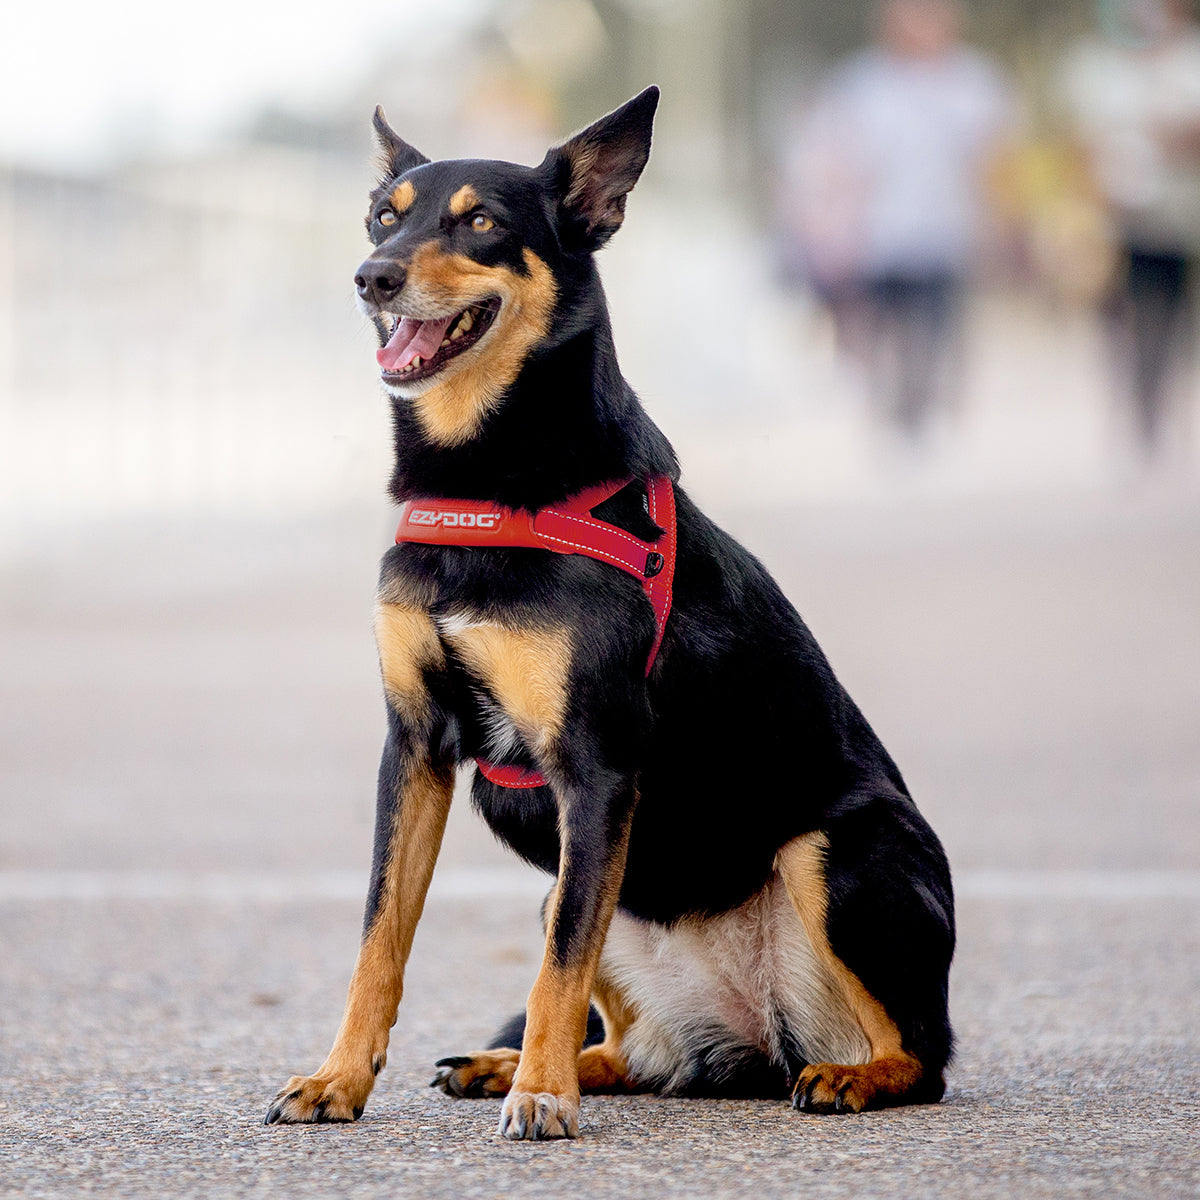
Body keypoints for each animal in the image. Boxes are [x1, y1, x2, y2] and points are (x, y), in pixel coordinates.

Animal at [265, 88, 955, 1137]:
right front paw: (339, 1079)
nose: (370, 278)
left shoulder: (594, 765)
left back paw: (846, 1077)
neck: (491, 485)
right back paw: (514, 1063)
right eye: (385, 216)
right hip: (579, 878)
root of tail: (760, 1036)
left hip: (835, 851)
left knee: (920, 1052)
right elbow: (380, 941)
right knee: (635, 1045)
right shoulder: (415, 748)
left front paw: (542, 1098)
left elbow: (555, 967)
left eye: (480, 222)